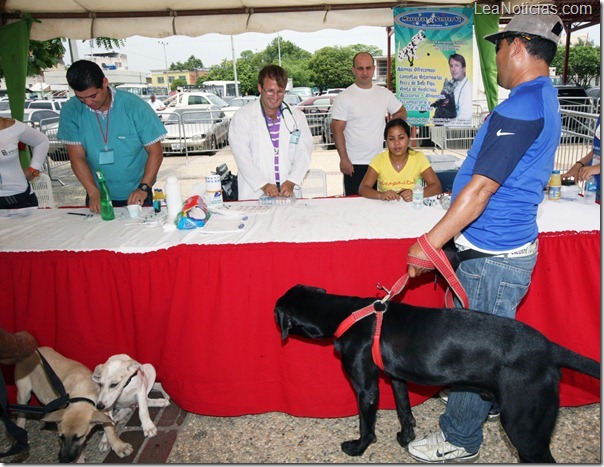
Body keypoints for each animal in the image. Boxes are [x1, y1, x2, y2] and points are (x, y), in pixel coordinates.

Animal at [276, 286, 600, 464]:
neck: (347, 312)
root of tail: (550, 349)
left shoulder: (366, 388)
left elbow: (367, 425)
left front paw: (357, 448)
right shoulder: (396, 378)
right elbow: (404, 410)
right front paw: (406, 436)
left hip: (524, 427)